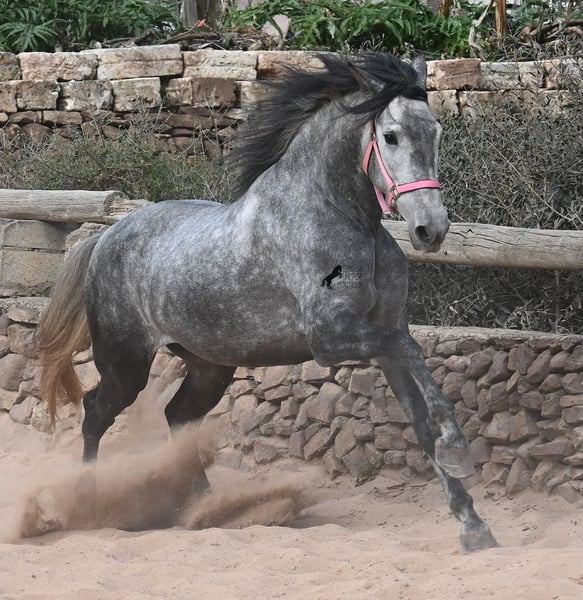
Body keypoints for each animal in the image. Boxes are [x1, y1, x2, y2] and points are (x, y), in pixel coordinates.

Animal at [36, 52, 498, 552]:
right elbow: (414, 360)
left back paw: (204, 507)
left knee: (177, 416)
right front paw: (458, 449)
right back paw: (90, 503)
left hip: (209, 366)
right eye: (391, 136)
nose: (431, 230)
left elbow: (420, 418)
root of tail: (103, 239)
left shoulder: (386, 333)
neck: (339, 219)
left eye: (435, 131)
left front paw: (474, 526)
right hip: (126, 364)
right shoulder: (332, 339)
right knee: (96, 412)